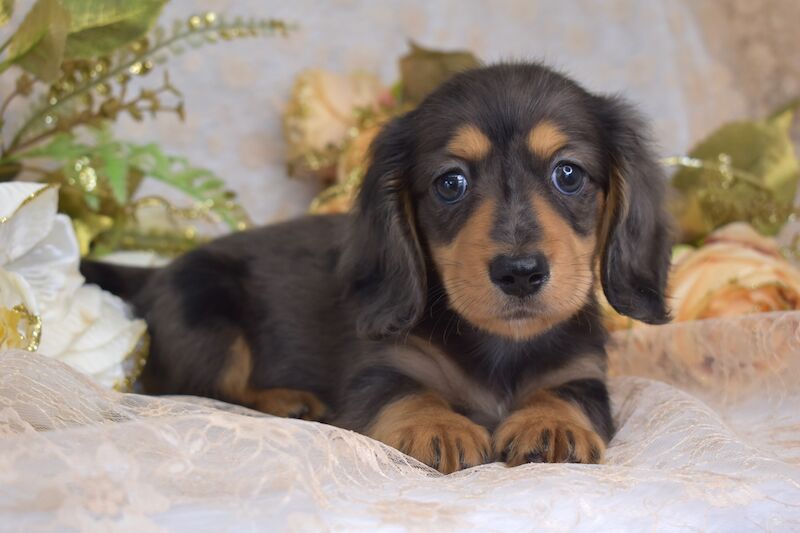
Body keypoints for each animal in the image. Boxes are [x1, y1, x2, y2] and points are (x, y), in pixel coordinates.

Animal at [83, 62, 668, 474]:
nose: (520, 272)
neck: (500, 344)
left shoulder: (583, 373)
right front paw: (438, 426)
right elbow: (405, 391)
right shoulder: (380, 367)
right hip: (205, 312)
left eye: (568, 174)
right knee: (204, 387)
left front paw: (551, 423)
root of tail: (154, 274)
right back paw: (286, 401)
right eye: (450, 183)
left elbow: (566, 392)